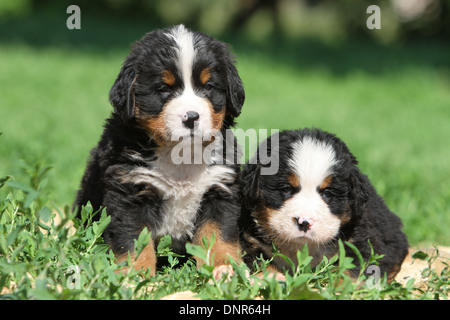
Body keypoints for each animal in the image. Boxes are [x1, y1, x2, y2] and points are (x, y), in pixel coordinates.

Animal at [76, 25, 248, 276]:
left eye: (208, 87)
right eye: (163, 89)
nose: (191, 117)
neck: (181, 156)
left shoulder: (219, 188)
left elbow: (219, 234)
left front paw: (225, 268)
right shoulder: (130, 191)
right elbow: (134, 241)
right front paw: (136, 276)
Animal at [241, 127, 410, 280]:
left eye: (328, 193)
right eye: (286, 188)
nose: (304, 222)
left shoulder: (361, 241)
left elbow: (348, 271)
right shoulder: (251, 242)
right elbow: (262, 264)